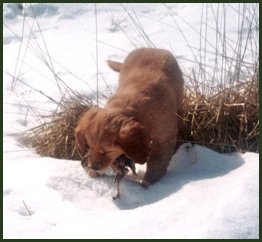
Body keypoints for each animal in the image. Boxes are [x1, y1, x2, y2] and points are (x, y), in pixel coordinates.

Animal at [74, 48, 183, 186]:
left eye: (107, 151)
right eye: (89, 146)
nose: (93, 167)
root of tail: (152, 48)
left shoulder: (164, 138)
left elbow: (157, 160)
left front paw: (149, 180)